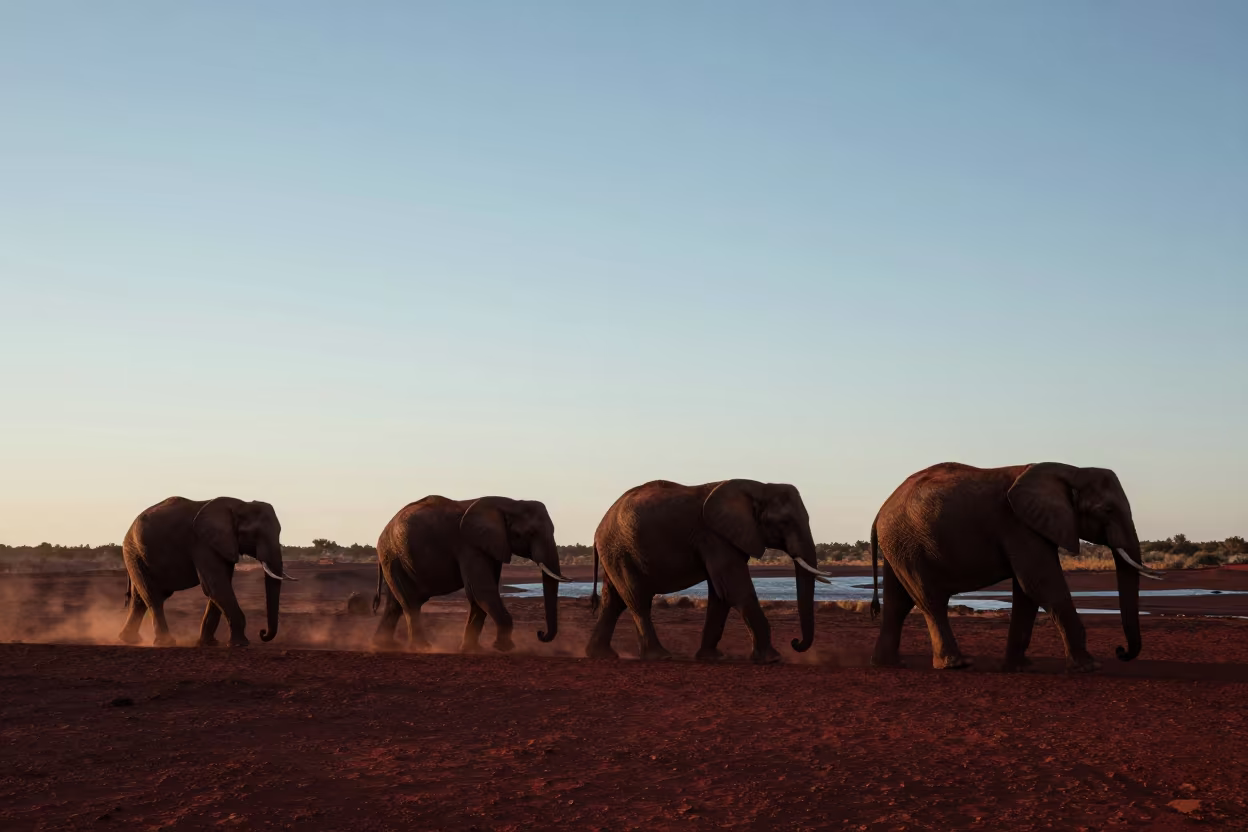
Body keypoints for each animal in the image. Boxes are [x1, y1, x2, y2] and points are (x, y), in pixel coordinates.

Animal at [119, 496, 295, 647]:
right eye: (255, 534)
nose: (262, 632)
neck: (240, 505)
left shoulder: (221, 544)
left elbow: (217, 588)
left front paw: (208, 644)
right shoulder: (202, 543)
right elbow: (216, 586)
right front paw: (240, 645)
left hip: (137, 555)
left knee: (140, 599)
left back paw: (129, 640)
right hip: (133, 552)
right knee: (153, 596)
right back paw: (165, 643)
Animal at [371, 495, 569, 652]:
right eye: (529, 533)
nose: (540, 633)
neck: (508, 503)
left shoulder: (490, 546)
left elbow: (478, 594)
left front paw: (472, 650)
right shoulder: (468, 545)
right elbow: (482, 590)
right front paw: (504, 648)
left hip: (393, 560)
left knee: (395, 604)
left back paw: (383, 646)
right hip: (392, 556)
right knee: (410, 603)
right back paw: (422, 648)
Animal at [585, 479, 831, 663]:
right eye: (785, 522)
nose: (795, 642)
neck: (759, 487)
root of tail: (598, 528)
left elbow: (721, 595)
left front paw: (712, 658)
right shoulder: (714, 536)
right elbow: (735, 589)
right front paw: (773, 659)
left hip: (616, 554)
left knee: (614, 602)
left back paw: (601, 655)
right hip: (620, 550)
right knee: (637, 600)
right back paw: (660, 656)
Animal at [869, 462, 1159, 672]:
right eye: (1107, 510)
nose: (1120, 651)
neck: (1071, 470)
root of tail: (880, 511)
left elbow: (1027, 591)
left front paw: (1019, 667)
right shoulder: (1019, 525)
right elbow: (1040, 583)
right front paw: (1089, 666)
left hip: (898, 545)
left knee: (898, 602)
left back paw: (889, 664)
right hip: (907, 542)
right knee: (930, 599)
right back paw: (956, 665)